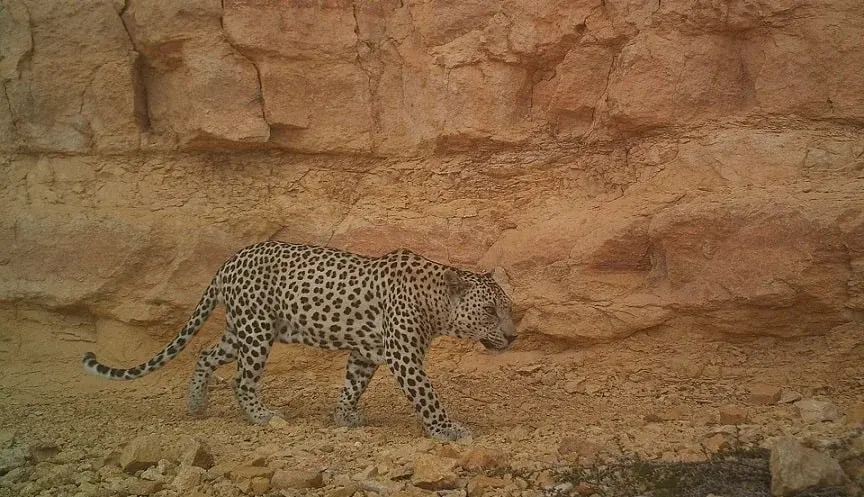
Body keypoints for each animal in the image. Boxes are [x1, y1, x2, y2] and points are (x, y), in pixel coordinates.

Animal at [81, 240, 516, 438]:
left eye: (508, 309)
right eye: (490, 311)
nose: (513, 336)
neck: (435, 301)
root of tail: (227, 262)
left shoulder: (366, 353)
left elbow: (352, 386)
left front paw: (344, 416)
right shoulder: (403, 357)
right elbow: (428, 397)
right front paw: (447, 430)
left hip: (241, 330)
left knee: (204, 353)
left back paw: (196, 404)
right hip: (256, 332)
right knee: (242, 380)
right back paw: (261, 416)